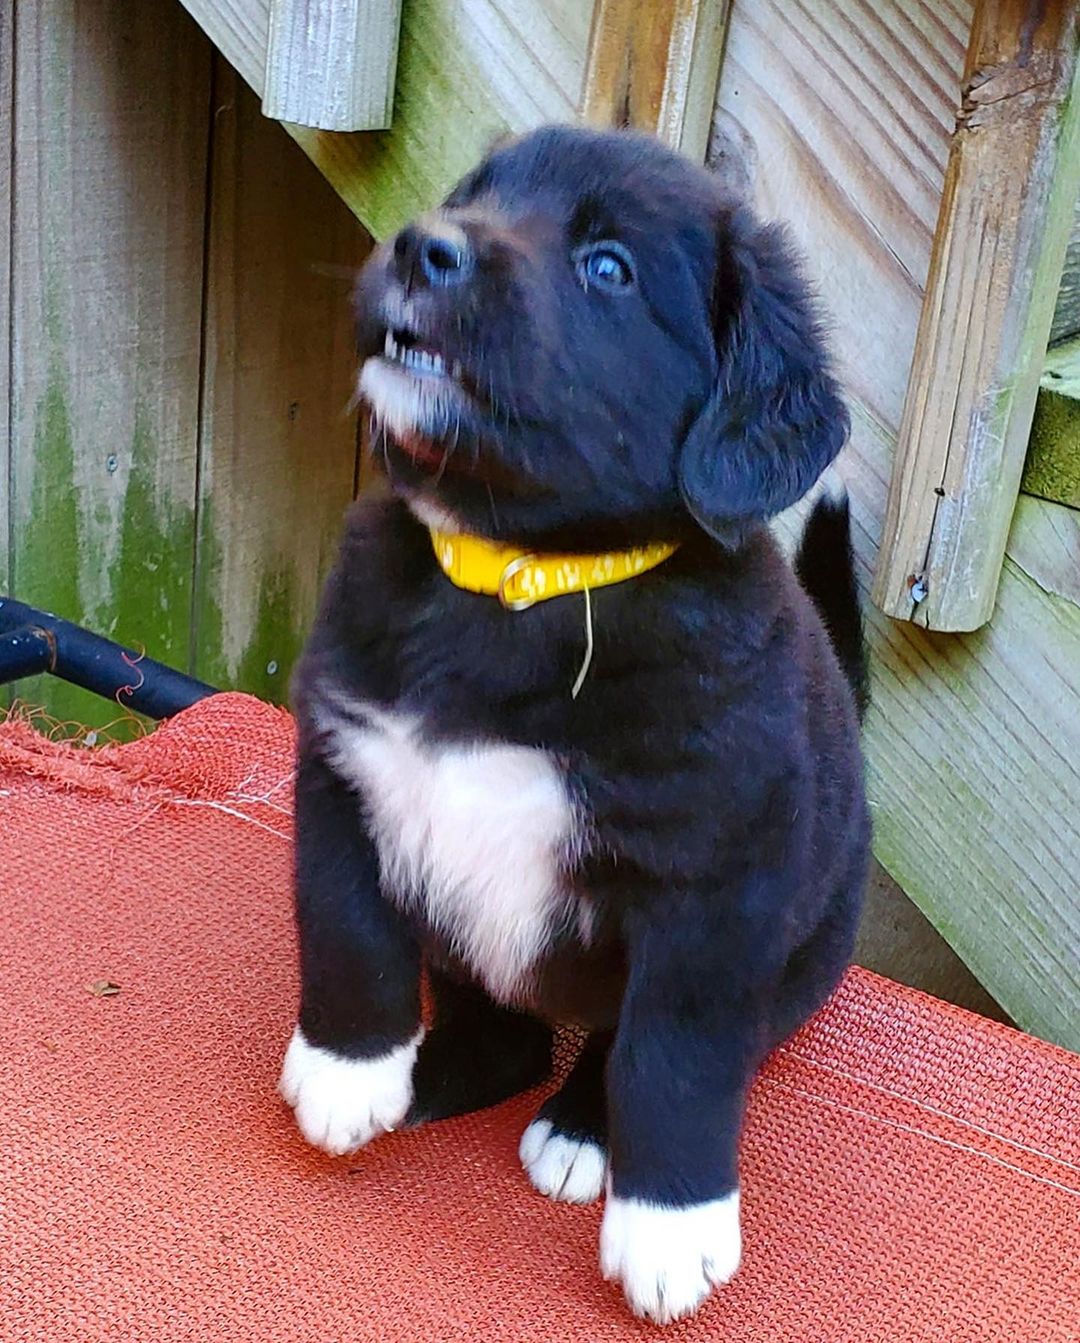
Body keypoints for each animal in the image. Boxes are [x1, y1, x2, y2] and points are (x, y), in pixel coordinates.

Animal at [280, 126, 870, 1321]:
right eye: (474, 195)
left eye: (609, 268)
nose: (424, 245)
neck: (515, 578)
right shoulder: (344, 770)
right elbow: (348, 927)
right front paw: (349, 1068)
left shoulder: (714, 890)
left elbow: (675, 1053)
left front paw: (670, 1222)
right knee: (501, 1030)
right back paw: (430, 1074)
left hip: (800, 956)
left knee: (618, 1042)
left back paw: (583, 1126)